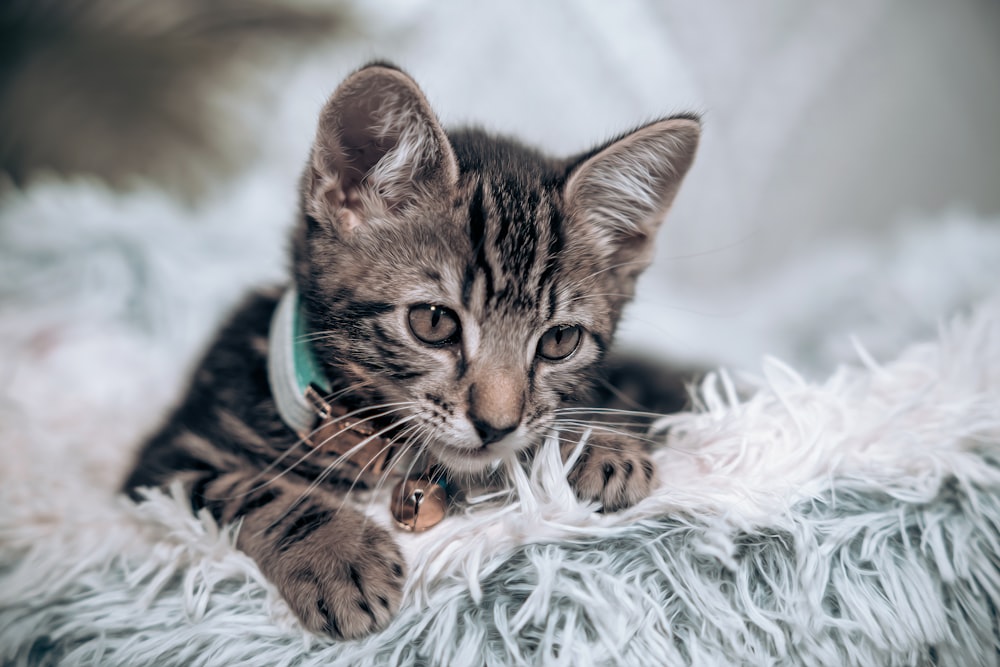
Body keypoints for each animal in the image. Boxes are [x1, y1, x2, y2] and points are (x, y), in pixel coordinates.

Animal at [125, 64, 700, 640]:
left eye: (559, 341)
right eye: (433, 322)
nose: (495, 425)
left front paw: (590, 446)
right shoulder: (166, 466)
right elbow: (251, 487)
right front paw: (337, 555)